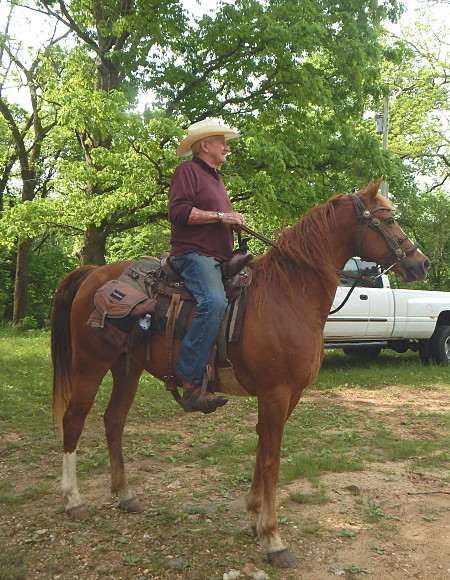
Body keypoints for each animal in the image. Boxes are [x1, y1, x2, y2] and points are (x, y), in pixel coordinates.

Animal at [51, 180, 428, 568]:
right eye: (388, 219)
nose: (421, 262)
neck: (287, 293)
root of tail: (92, 273)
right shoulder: (275, 394)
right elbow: (272, 460)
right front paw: (273, 539)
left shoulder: (289, 396)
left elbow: (262, 451)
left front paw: (253, 517)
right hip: (90, 364)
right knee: (73, 420)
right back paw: (73, 500)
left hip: (127, 367)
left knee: (113, 420)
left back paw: (125, 495)